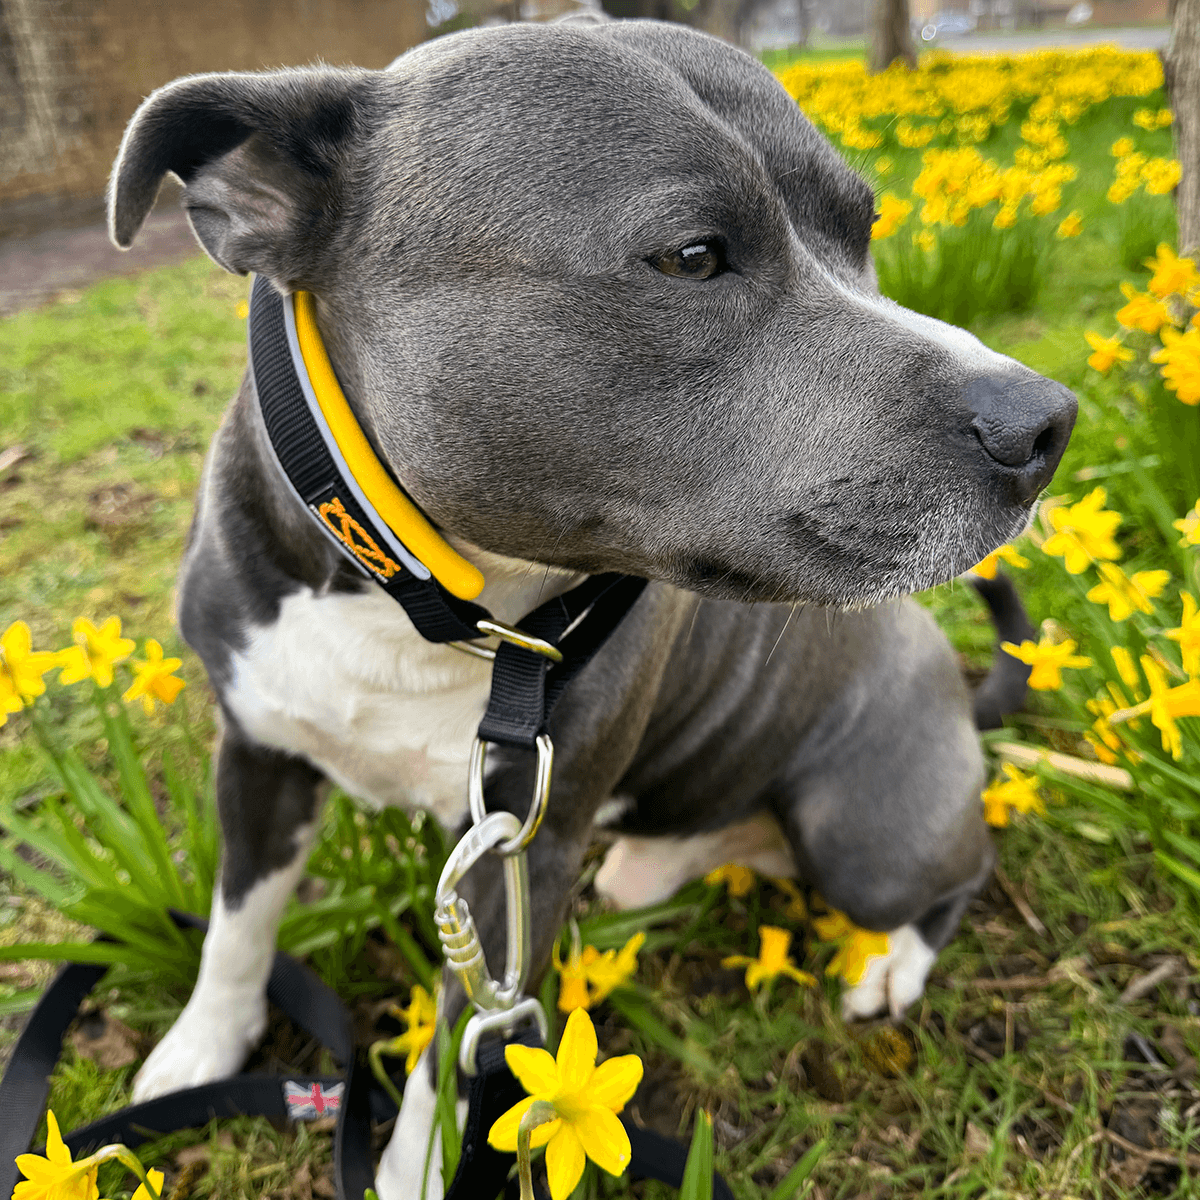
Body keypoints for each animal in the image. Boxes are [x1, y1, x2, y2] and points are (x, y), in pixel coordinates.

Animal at [108, 14, 1075, 1195]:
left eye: (865, 227)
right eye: (692, 256)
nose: (1045, 423)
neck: (434, 601)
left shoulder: (526, 847)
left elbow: (460, 1050)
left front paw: (415, 1170)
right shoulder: (257, 753)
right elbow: (237, 923)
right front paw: (203, 1046)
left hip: (866, 834)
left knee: (960, 867)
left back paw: (895, 962)